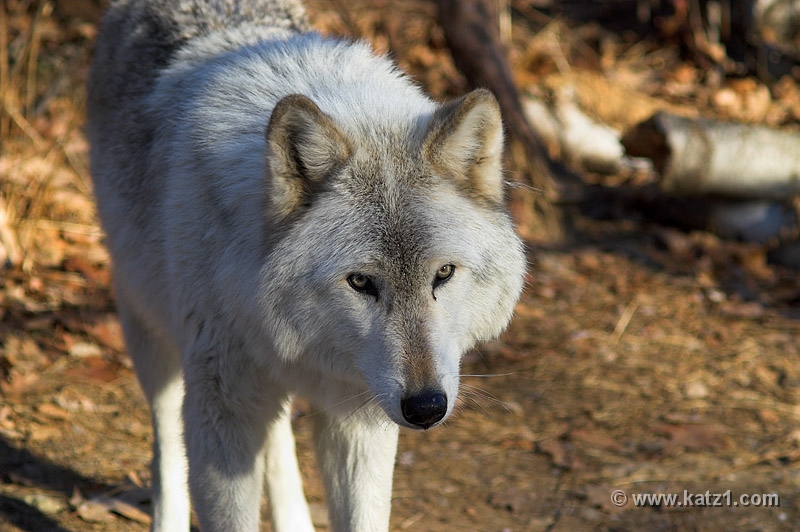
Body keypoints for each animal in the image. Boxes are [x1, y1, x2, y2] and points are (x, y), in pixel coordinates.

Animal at [87, 0, 526, 530]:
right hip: (149, 332)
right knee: (167, 441)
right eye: (360, 282)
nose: (425, 407)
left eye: (443, 274)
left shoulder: (361, 414)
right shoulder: (222, 408)